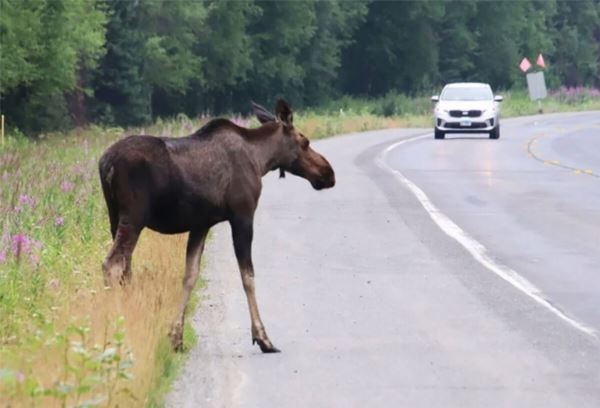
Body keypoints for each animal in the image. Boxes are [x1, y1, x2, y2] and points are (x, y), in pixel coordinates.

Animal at [96, 100, 336, 352]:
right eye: (305, 141)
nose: (329, 173)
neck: (261, 160)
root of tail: (106, 164)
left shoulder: (201, 224)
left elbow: (190, 275)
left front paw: (176, 336)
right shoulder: (242, 215)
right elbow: (248, 276)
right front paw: (263, 337)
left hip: (115, 218)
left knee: (125, 268)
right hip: (133, 218)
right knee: (112, 264)